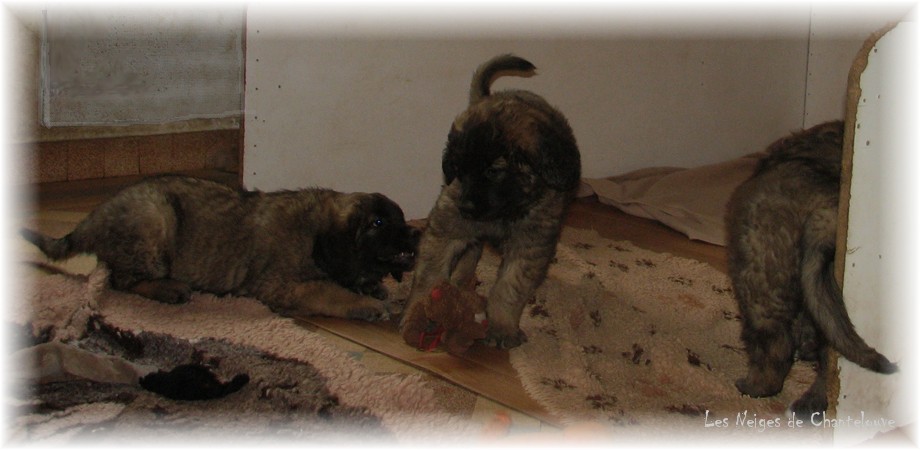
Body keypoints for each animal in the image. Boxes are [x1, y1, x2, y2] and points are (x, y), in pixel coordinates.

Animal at [23, 175, 420, 320]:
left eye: (401, 218)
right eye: (378, 224)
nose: (417, 234)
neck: (315, 234)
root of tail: (93, 217)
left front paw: (374, 287)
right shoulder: (283, 285)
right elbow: (329, 292)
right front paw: (366, 304)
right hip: (156, 217)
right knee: (123, 279)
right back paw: (169, 289)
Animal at [398, 53, 584, 348]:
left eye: (493, 171)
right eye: (458, 169)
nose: (465, 208)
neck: (503, 213)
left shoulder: (529, 246)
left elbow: (509, 288)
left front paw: (502, 326)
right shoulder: (445, 228)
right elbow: (429, 276)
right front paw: (417, 312)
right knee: (470, 253)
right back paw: (459, 285)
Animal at [724, 121, 892, 416]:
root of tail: (825, 211)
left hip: (759, 269)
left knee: (775, 346)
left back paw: (755, 387)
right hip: (822, 287)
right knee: (830, 351)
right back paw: (812, 402)